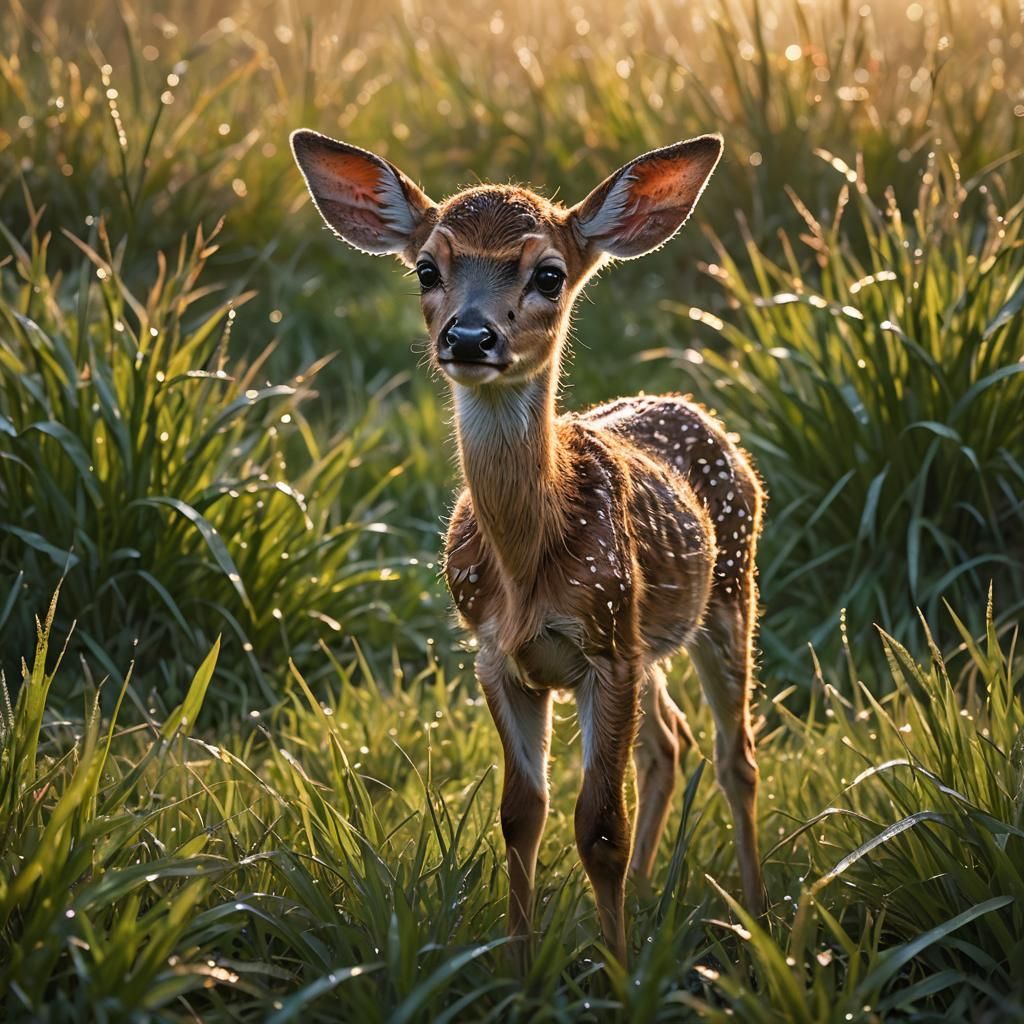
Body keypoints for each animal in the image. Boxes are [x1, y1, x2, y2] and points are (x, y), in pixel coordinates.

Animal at [291, 128, 766, 964]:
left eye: (548, 273)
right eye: (427, 268)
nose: (470, 336)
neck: (527, 565)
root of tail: (695, 410)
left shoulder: (604, 648)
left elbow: (599, 829)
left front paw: (617, 973)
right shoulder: (498, 656)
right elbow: (522, 817)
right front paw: (518, 964)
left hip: (730, 591)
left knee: (734, 753)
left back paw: (761, 916)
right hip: (649, 637)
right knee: (669, 742)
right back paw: (650, 895)